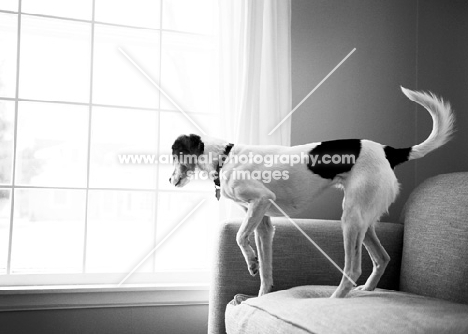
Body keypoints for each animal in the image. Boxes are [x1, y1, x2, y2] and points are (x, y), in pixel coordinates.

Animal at [167, 87, 454, 298]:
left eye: (174, 155)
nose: (169, 181)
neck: (224, 157)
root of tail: (387, 150)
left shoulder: (261, 199)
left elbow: (239, 237)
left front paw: (250, 262)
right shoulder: (263, 223)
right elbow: (266, 271)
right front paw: (260, 292)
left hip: (351, 219)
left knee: (353, 268)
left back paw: (335, 299)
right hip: (365, 221)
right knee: (382, 258)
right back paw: (368, 289)